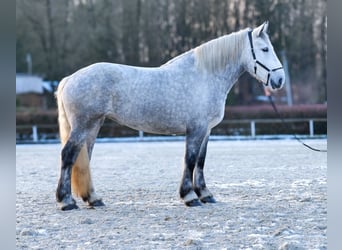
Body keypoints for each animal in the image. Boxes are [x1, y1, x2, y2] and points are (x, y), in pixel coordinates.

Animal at [56, 21, 286, 210]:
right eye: (265, 49)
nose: (280, 80)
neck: (204, 76)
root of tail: (70, 79)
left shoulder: (206, 130)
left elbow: (200, 161)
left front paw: (205, 194)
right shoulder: (196, 129)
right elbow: (190, 160)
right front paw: (190, 197)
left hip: (93, 126)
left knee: (84, 159)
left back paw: (93, 198)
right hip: (83, 126)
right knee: (68, 155)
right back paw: (66, 201)